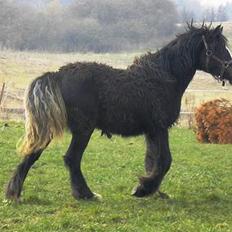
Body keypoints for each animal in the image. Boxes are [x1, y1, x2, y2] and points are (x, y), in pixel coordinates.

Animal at [5, 24, 232, 201]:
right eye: (217, 48)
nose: (230, 71)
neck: (164, 77)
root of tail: (57, 75)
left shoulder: (151, 131)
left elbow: (152, 160)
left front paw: (151, 190)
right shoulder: (160, 128)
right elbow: (164, 161)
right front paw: (143, 189)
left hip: (54, 129)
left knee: (33, 154)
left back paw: (14, 193)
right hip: (83, 130)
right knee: (71, 159)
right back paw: (86, 194)